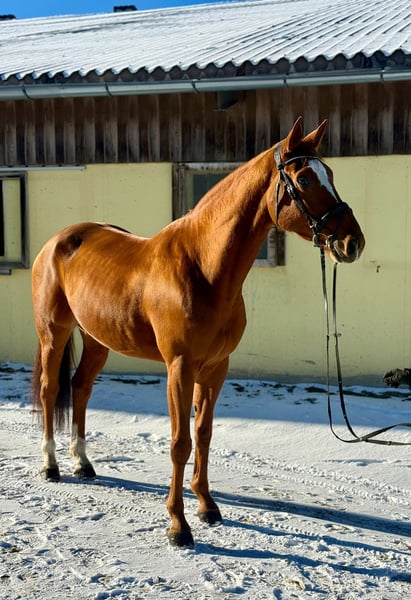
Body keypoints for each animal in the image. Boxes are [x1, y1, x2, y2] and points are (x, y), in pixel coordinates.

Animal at [31, 117, 365, 548]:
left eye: (332, 174)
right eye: (305, 178)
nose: (352, 242)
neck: (202, 267)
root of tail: (58, 240)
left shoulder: (215, 368)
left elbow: (203, 435)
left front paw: (207, 507)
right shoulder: (180, 367)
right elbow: (180, 442)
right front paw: (178, 525)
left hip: (97, 339)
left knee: (81, 387)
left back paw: (83, 463)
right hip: (53, 333)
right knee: (51, 389)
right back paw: (51, 465)